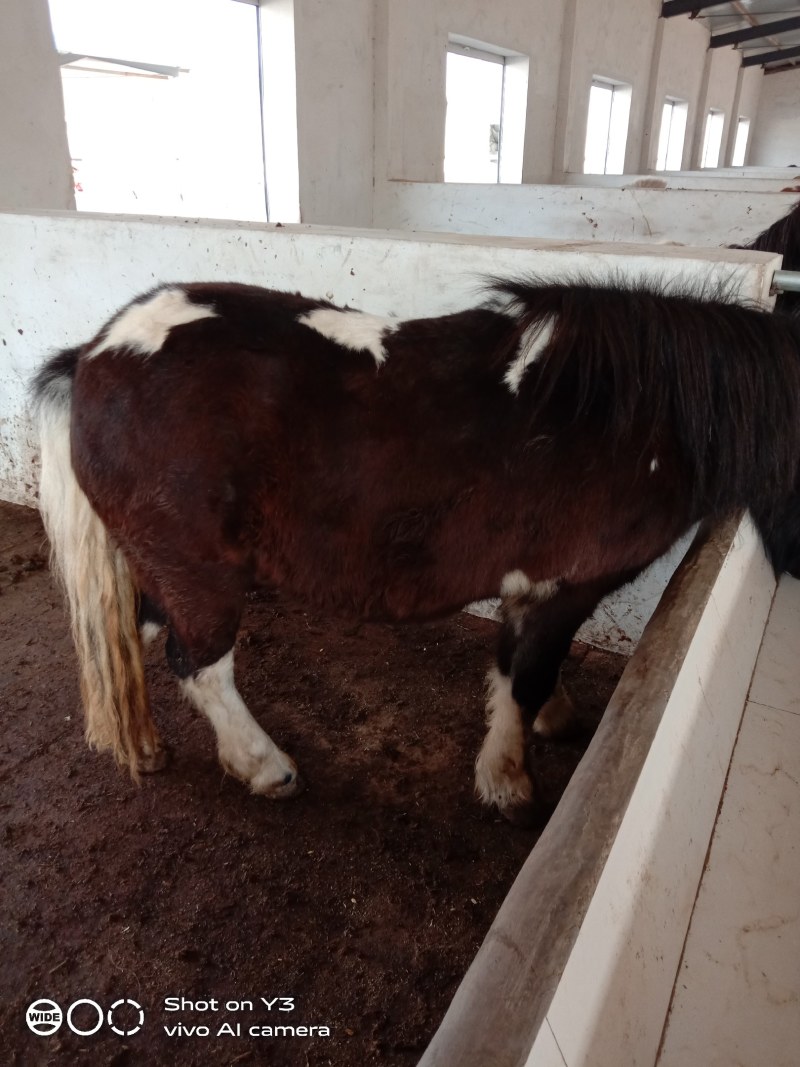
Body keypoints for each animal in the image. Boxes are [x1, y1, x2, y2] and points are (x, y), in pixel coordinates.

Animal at [31, 275, 800, 823]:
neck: (627, 412)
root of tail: (94, 355)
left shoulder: (534, 588)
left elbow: (519, 665)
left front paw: (543, 722)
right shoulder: (564, 584)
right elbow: (525, 673)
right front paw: (508, 780)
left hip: (160, 569)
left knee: (134, 637)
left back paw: (144, 743)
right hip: (201, 575)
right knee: (199, 665)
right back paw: (264, 766)